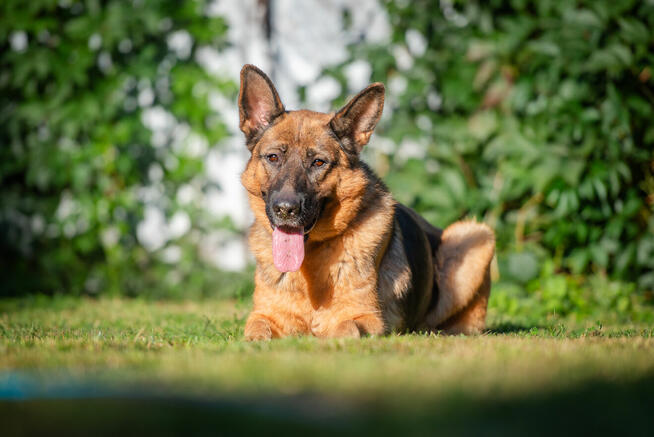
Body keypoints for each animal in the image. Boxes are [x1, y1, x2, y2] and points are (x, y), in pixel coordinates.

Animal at [238, 63, 494, 338]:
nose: (285, 209)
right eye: (273, 157)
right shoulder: (264, 316)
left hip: (473, 235)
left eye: (318, 162)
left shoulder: (366, 318)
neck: (311, 258)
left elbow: (346, 329)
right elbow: (256, 331)